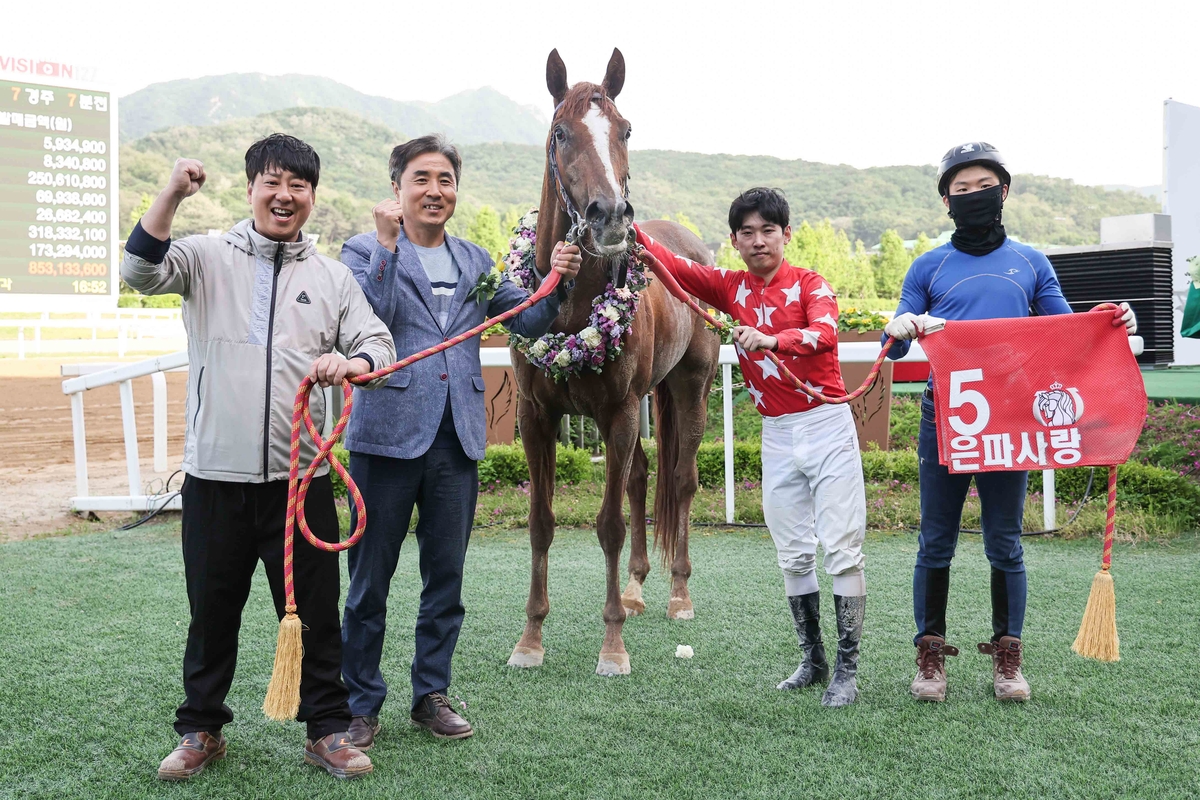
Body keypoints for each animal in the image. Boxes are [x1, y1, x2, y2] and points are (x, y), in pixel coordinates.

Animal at [508, 48, 715, 676]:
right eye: (560, 132)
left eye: (624, 130)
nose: (611, 216)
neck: (573, 307)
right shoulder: (536, 415)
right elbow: (542, 521)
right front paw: (531, 638)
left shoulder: (619, 412)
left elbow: (609, 525)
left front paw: (612, 646)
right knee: (644, 475)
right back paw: (636, 589)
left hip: (690, 387)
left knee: (680, 480)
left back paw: (677, 594)